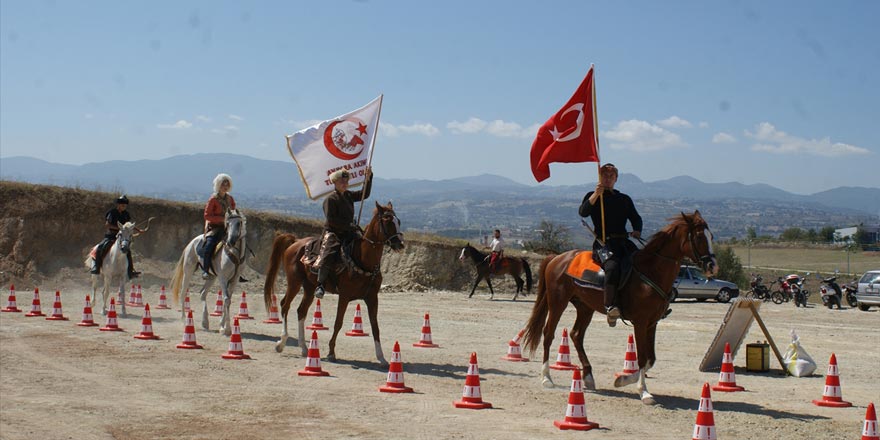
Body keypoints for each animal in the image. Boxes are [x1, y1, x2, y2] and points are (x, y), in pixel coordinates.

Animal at [262, 202, 404, 364]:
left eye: (398, 221)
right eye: (387, 221)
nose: (400, 244)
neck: (362, 259)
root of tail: (295, 242)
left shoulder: (372, 298)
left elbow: (375, 326)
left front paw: (381, 357)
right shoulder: (344, 296)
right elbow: (338, 322)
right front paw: (331, 352)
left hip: (309, 287)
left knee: (301, 311)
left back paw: (304, 347)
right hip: (294, 282)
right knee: (285, 305)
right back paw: (281, 343)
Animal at [524, 211, 716, 404]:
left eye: (711, 236)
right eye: (700, 236)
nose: (712, 266)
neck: (651, 271)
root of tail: (557, 258)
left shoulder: (652, 323)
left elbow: (651, 359)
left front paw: (622, 380)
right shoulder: (640, 322)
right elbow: (642, 357)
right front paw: (643, 392)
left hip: (585, 307)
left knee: (576, 335)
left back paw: (588, 377)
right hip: (558, 303)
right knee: (548, 334)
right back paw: (546, 378)